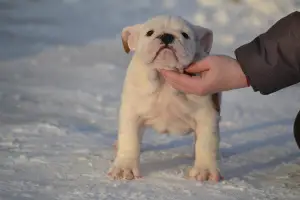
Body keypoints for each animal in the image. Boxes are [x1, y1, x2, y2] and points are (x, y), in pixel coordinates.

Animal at [109, 14, 221, 182]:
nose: (167, 36)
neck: (164, 80)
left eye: (185, 35)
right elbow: (129, 140)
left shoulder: (207, 114)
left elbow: (206, 143)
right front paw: (124, 167)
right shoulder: (131, 113)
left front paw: (204, 170)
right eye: (149, 33)